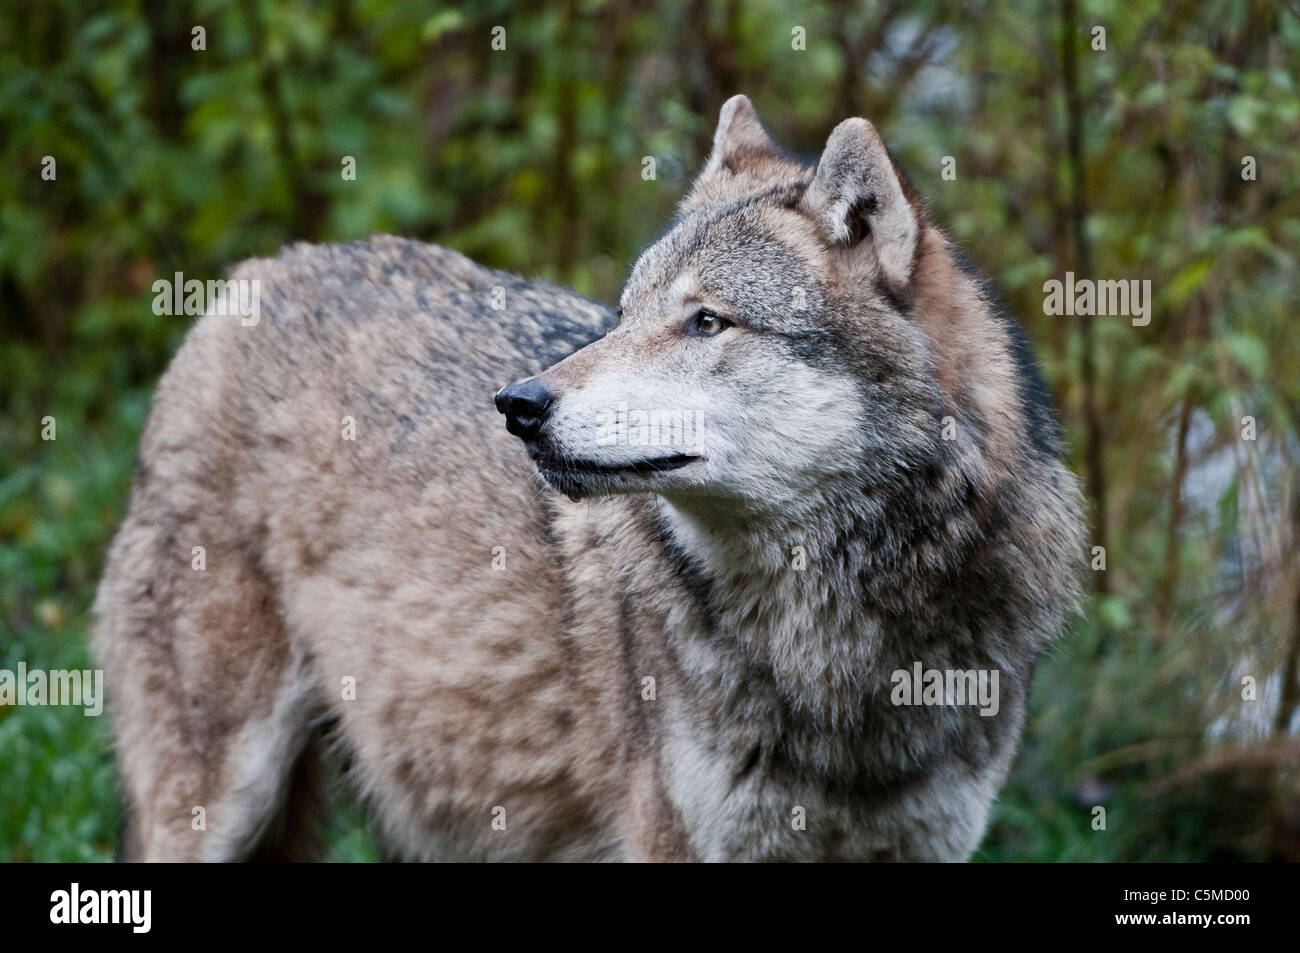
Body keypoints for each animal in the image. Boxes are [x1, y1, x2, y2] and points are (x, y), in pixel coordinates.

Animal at [94, 96, 1086, 863]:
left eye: (706, 321)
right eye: (626, 312)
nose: (519, 404)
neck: (840, 657)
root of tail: (253, 277)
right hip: (216, 800)